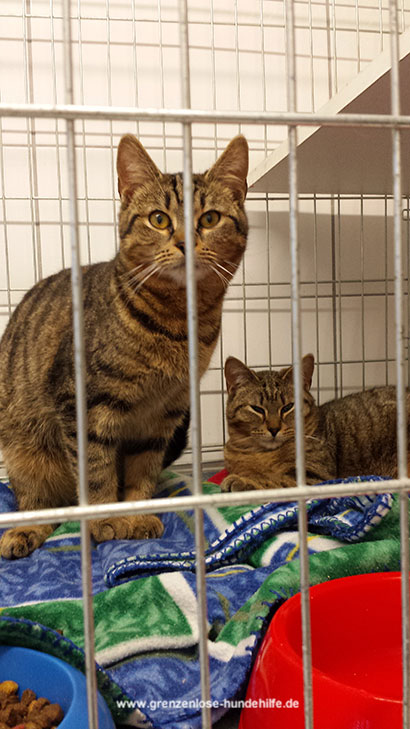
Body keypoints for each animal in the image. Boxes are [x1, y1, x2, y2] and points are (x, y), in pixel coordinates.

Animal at [0, 133, 249, 558]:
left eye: (210, 219)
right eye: (159, 219)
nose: (185, 243)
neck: (178, 324)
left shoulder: (163, 413)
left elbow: (142, 472)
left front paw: (137, 512)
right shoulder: (85, 406)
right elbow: (97, 474)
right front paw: (106, 521)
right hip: (24, 450)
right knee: (39, 503)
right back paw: (24, 531)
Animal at [222, 353, 406, 492]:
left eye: (288, 407)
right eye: (257, 409)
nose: (274, 429)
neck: (261, 454)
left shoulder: (314, 477)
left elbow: (274, 480)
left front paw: (243, 481)